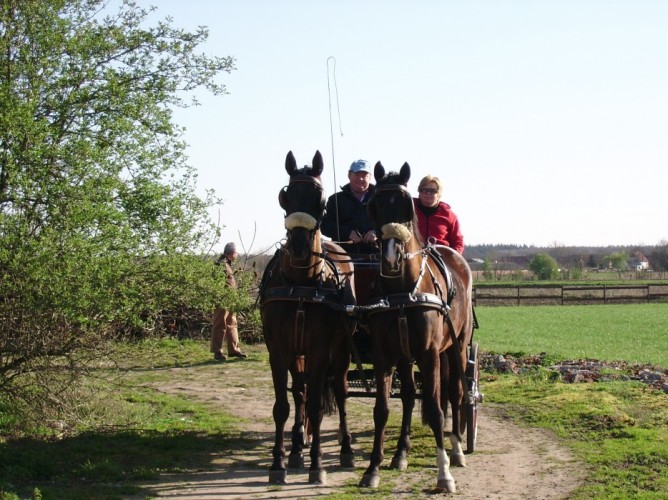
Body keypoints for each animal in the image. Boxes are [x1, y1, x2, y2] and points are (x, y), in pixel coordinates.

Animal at [258, 151, 358, 484]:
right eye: (286, 196)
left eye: (320, 197)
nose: (300, 247)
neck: (301, 281)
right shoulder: (278, 350)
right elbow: (283, 405)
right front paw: (279, 462)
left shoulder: (320, 349)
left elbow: (316, 405)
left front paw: (317, 465)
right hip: (297, 354)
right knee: (300, 392)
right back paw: (298, 446)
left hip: (341, 350)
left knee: (340, 391)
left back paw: (345, 449)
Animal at [360, 161, 474, 492]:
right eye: (374, 206)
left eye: (405, 206)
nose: (390, 257)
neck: (403, 289)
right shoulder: (384, 354)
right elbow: (382, 409)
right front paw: (373, 468)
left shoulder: (429, 354)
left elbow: (436, 410)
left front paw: (444, 473)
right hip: (405, 356)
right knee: (410, 397)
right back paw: (401, 454)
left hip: (457, 348)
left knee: (456, 394)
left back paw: (457, 449)